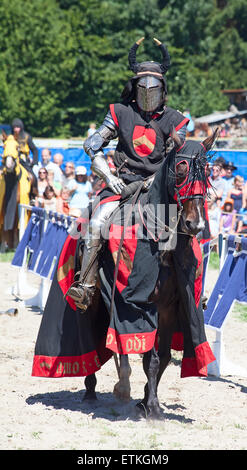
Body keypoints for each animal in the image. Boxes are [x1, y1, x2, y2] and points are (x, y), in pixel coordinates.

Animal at [80, 129, 216, 418]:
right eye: (181, 168)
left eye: (207, 171)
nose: (196, 224)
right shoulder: (143, 305)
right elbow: (148, 355)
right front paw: (152, 407)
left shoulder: (170, 309)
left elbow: (160, 358)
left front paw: (146, 401)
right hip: (97, 299)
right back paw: (95, 388)